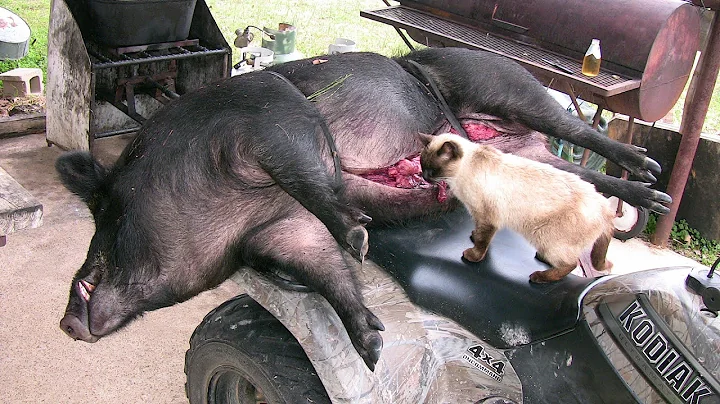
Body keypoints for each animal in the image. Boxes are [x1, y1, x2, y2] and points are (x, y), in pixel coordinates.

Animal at [57, 47, 670, 371]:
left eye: (107, 214)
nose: (64, 323)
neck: (235, 218)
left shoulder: (270, 123)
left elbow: (311, 177)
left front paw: (359, 237)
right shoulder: (280, 232)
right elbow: (324, 270)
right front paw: (372, 348)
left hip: (500, 84)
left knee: (579, 132)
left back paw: (652, 178)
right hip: (531, 158)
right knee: (577, 173)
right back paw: (647, 194)